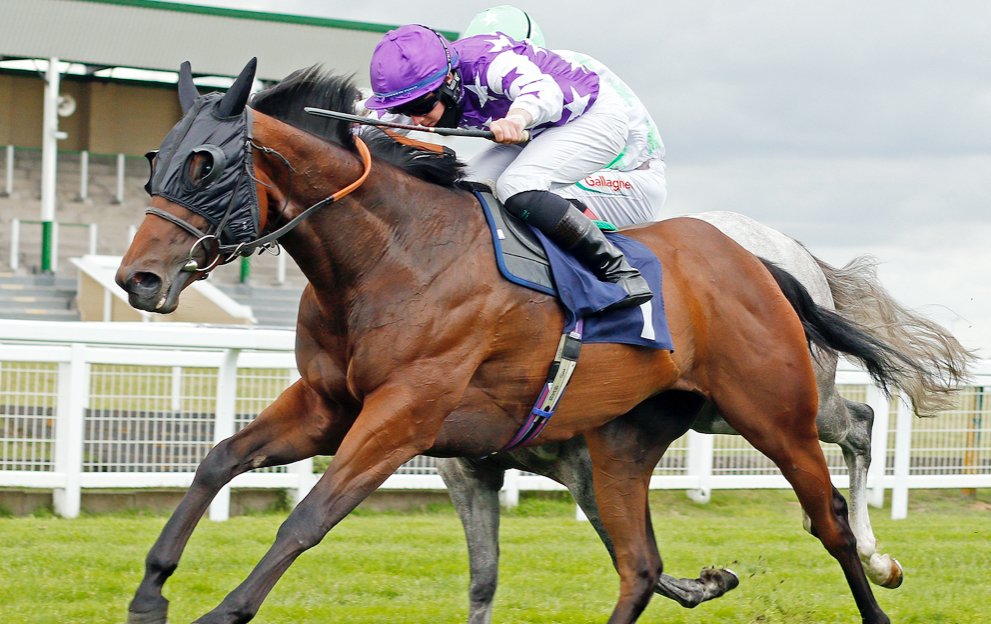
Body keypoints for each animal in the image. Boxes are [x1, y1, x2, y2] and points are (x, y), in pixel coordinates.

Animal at [116, 60, 910, 624]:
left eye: (207, 164)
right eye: (154, 159)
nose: (138, 279)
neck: (392, 255)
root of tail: (755, 260)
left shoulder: (402, 419)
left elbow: (309, 517)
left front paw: (222, 611)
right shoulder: (331, 408)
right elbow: (218, 461)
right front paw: (152, 592)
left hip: (770, 412)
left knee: (836, 503)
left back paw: (878, 564)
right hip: (629, 443)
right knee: (638, 565)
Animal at [439, 211, 975, 621]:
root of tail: (783, 248)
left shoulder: (588, 465)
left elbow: (634, 559)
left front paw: (712, 581)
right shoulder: (468, 470)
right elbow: (485, 579)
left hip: (784, 398)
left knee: (859, 423)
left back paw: (874, 556)